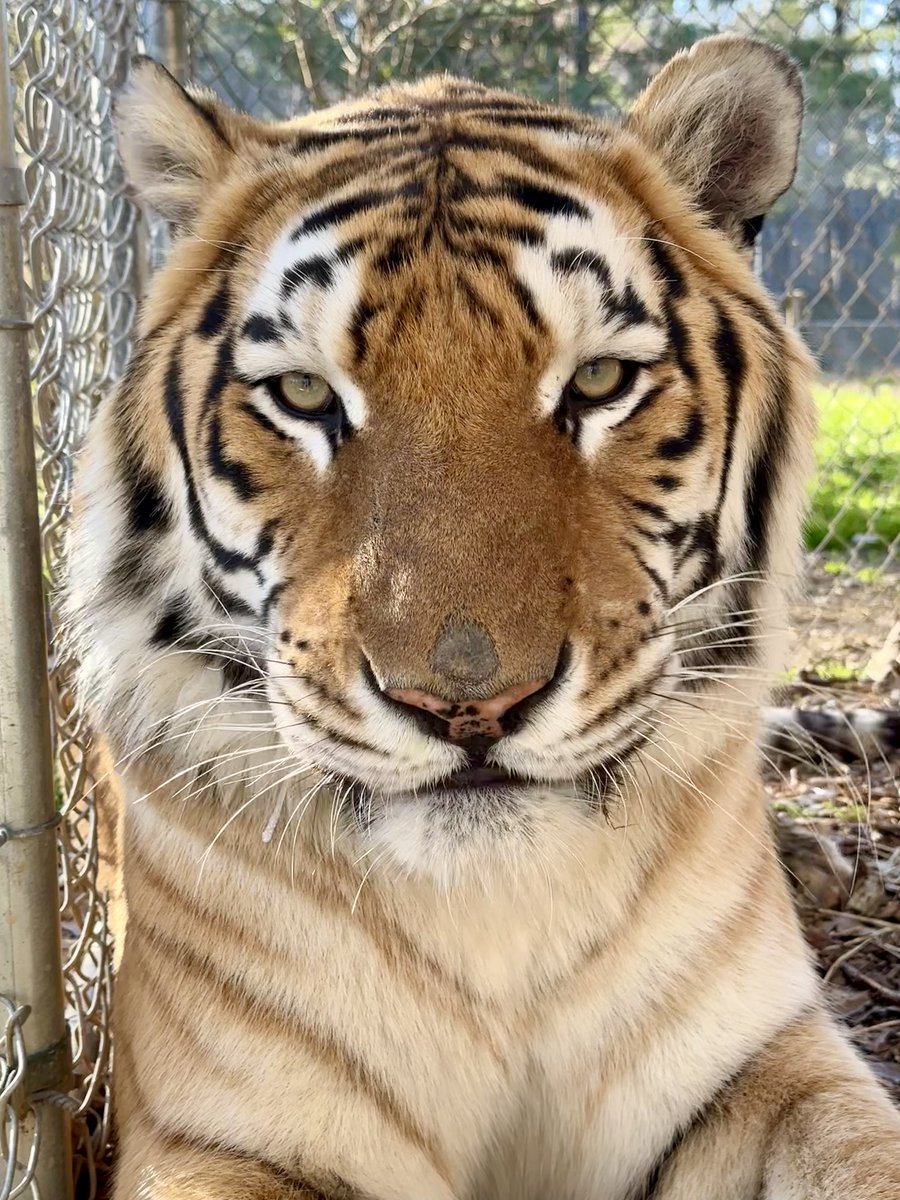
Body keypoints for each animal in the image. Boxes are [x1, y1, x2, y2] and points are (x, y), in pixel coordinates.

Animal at [67, 33, 900, 1200]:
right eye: (306, 397)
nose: (467, 707)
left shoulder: (768, 1062)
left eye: (599, 381)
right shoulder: (219, 1136)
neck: (498, 925)